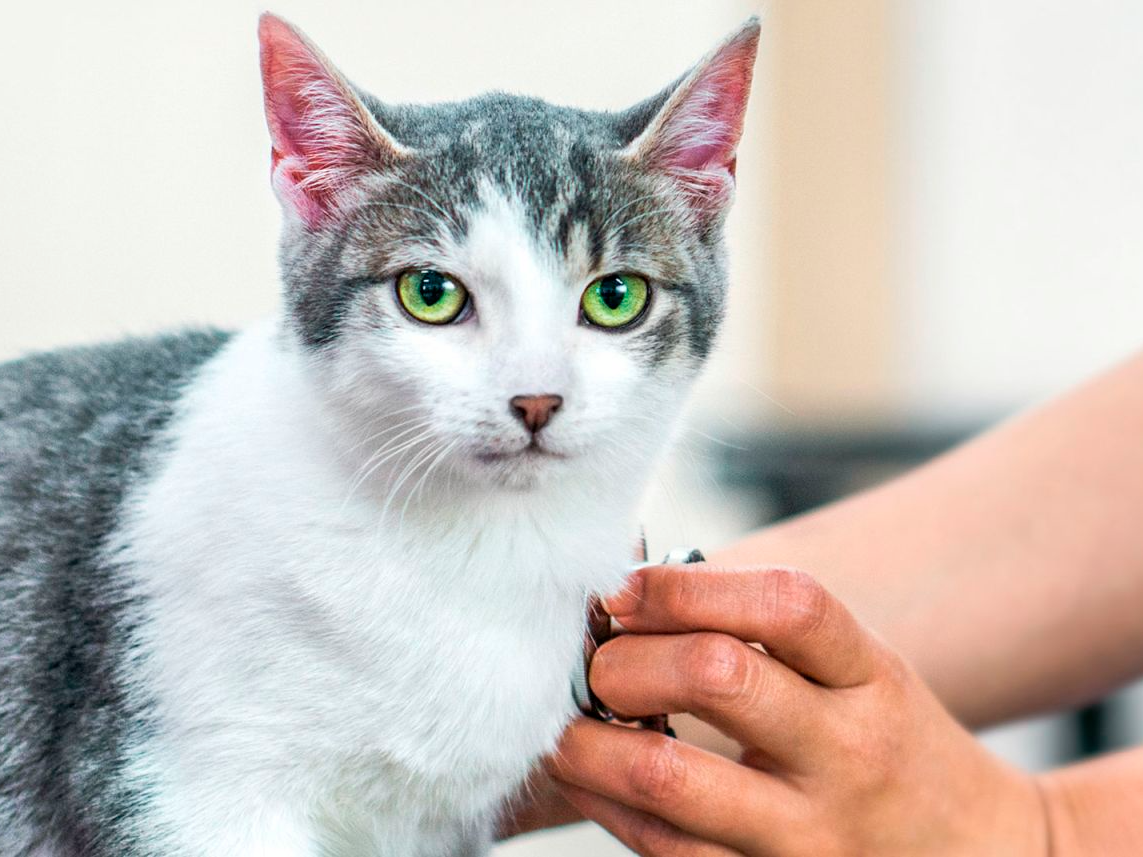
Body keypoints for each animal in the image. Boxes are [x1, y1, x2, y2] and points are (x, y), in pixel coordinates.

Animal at [0, 13, 758, 857]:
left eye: (615, 296)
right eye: (429, 292)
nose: (535, 398)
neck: (469, 550)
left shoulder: (434, 825)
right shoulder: (180, 792)